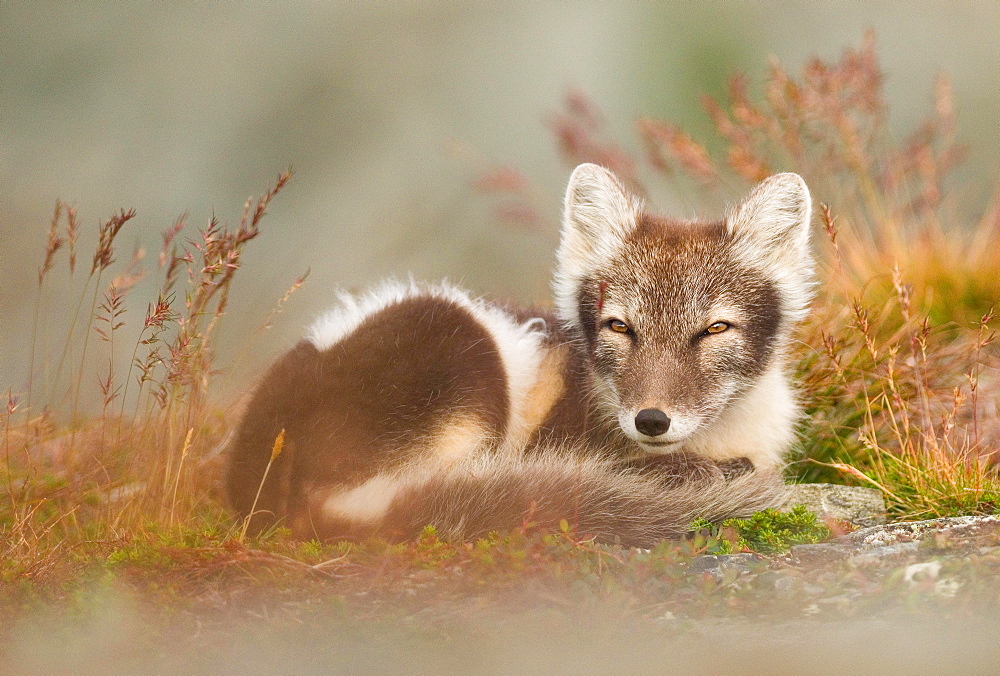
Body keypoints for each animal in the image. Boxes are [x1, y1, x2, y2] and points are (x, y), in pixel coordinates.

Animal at [227, 165, 812, 548]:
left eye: (715, 328)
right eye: (619, 326)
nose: (651, 420)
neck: (723, 437)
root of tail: (279, 495)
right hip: (457, 339)